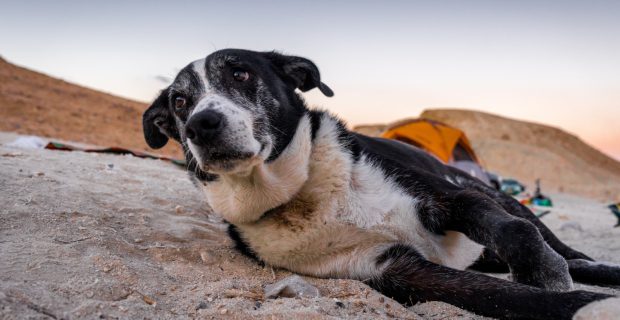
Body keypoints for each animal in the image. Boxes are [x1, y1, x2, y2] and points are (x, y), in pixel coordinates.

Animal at [142, 48, 620, 318]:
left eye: (240, 74)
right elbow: (508, 298)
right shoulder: (396, 271)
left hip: (506, 201)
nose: (201, 124)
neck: (302, 193)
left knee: (570, 254)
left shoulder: (451, 198)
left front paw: (542, 272)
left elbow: (512, 234)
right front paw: (586, 306)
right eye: (180, 101)